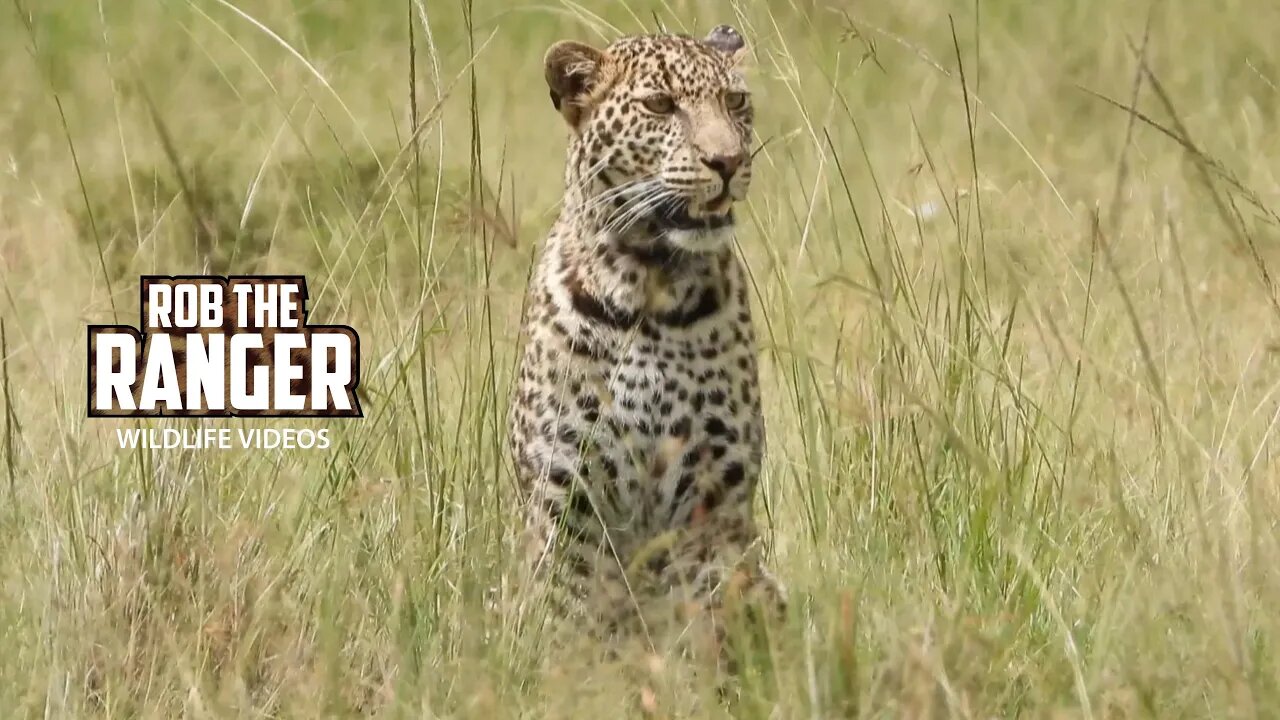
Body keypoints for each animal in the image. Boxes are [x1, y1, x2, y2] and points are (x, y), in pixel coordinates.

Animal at [504, 23, 783, 661]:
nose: (728, 161)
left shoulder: (713, 500)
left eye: (736, 101)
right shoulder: (567, 492)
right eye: (659, 105)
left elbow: (702, 621)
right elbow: (565, 612)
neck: (652, 289)